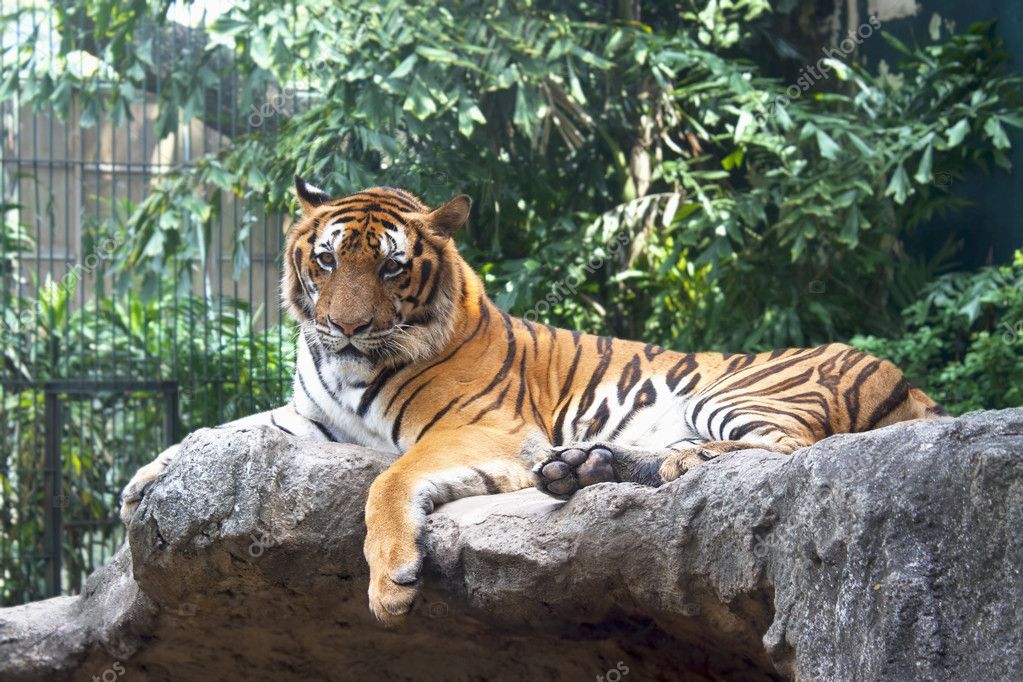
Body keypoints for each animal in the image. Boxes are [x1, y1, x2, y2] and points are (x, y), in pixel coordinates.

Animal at [121, 178, 949, 625]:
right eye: (325, 261)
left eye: (390, 269)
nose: (346, 327)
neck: (349, 367)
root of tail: (909, 381)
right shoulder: (306, 417)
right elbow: (218, 427)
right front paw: (144, 481)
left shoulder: (481, 428)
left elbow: (389, 480)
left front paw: (390, 583)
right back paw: (583, 467)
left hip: (738, 389)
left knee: (781, 449)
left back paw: (672, 464)